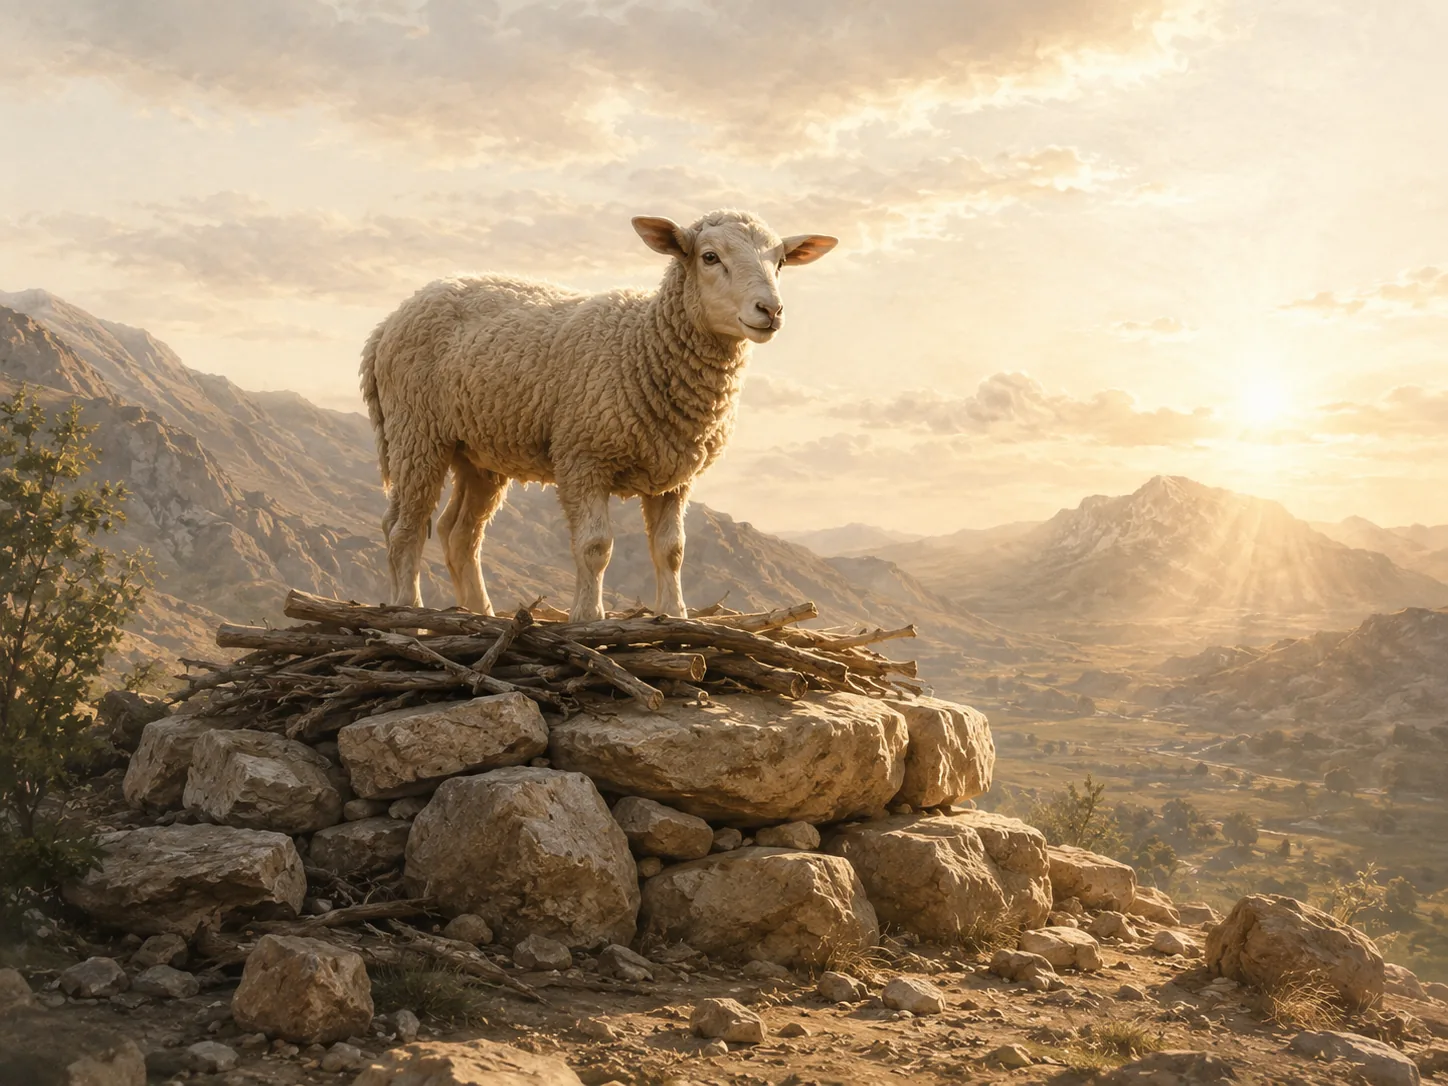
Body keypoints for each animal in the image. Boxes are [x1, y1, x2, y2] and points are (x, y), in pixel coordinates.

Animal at [360, 208, 837, 621]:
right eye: (709, 256)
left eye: (780, 261)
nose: (770, 310)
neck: (644, 342)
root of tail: (386, 324)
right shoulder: (582, 456)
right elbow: (595, 546)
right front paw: (589, 617)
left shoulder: (675, 476)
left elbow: (672, 550)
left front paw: (674, 615)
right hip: (416, 432)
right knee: (404, 527)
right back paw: (410, 610)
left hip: (478, 450)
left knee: (458, 534)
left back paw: (481, 613)